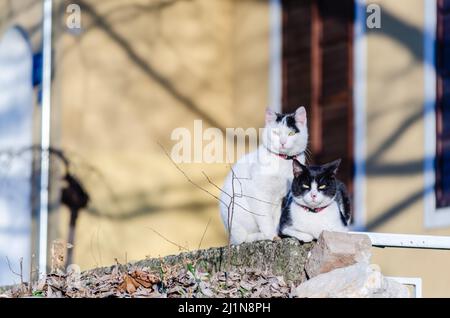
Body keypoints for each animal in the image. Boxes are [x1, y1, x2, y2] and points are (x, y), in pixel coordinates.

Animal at [219, 108, 310, 245]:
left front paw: (276, 233)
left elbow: (276, 219)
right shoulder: (257, 193)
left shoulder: (280, 199)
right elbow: (265, 218)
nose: (282, 142)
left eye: (291, 133)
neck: (282, 161)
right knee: (242, 239)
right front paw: (271, 236)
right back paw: (259, 236)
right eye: (276, 133)